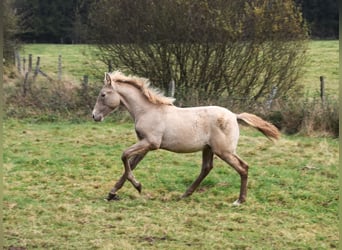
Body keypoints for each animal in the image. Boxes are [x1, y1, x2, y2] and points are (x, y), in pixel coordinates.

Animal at [92, 71, 280, 205]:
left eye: (103, 94)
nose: (94, 116)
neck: (147, 110)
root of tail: (234, 115)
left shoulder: (151, 143)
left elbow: (124, 156)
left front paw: (137, 187)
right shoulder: (144, 145)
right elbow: (130, 164)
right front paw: (112, 194)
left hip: (224, 151)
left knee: (243, 168)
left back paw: (239, 200)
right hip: (209, 149)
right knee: (207, 168)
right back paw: (185, 194)